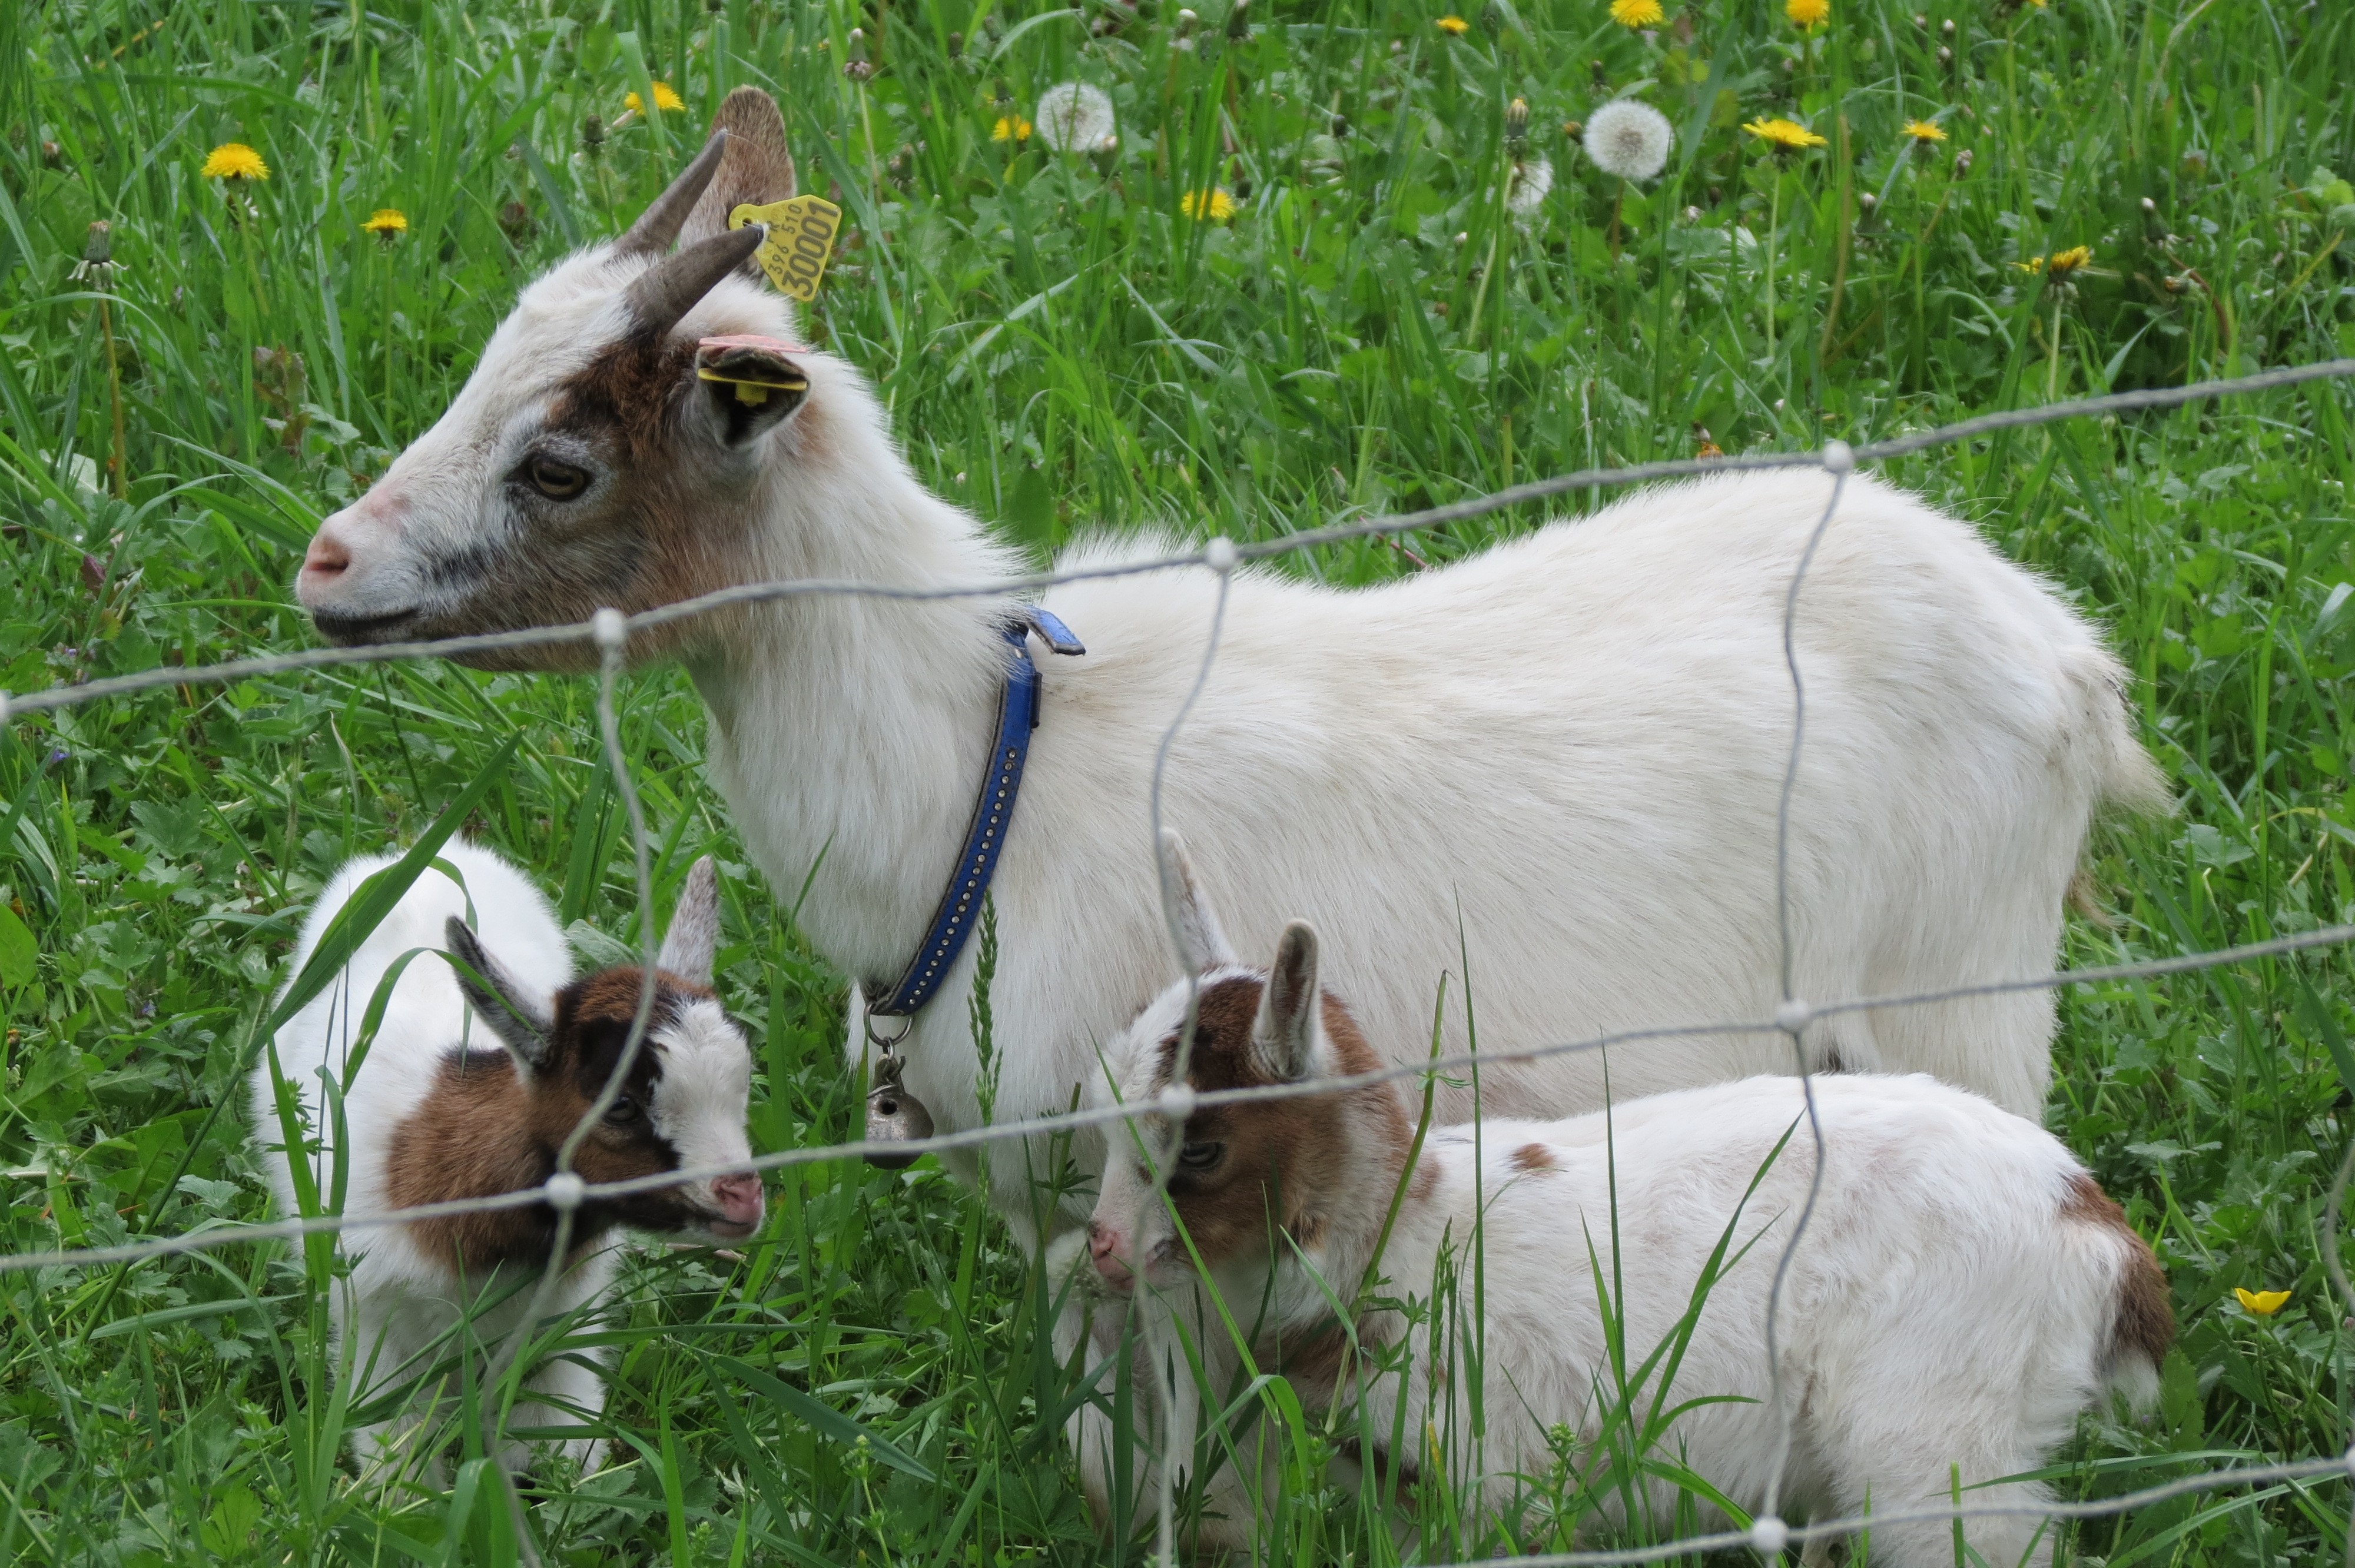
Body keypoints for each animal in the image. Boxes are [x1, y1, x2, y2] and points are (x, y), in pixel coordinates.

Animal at [251, 841, 763, 1479]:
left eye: (745, 1080)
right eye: (620, 1105)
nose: (743, 1198)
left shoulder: (558, 1331)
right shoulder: (376, 1324)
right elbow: (399, 1461)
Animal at [1062, 838, 2174, 1565]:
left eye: (1204, 1148)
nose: (1105, 1246)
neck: (1404, 1238)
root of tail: (2097, 1235)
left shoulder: (1483, 1479)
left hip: (1940, 1436)